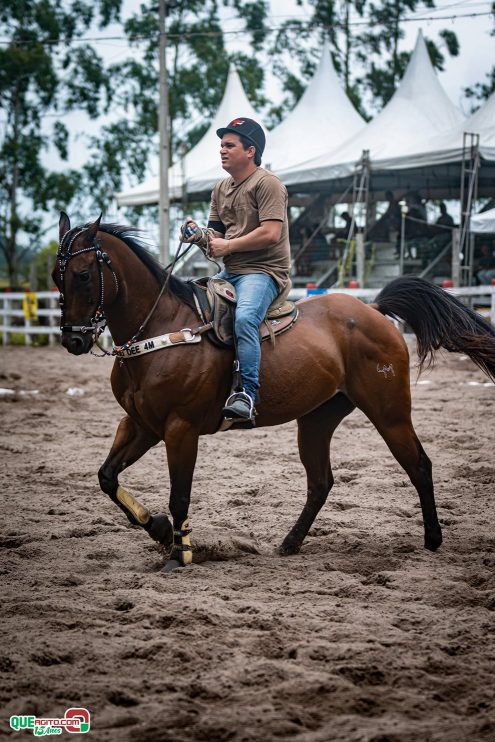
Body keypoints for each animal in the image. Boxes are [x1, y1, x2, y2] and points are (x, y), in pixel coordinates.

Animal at [53, 215, 495, 576]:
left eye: (84, 275)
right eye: (57, 277)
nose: (74, 340)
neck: (162, 327)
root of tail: (374, 310)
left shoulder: (180, 429)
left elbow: (179, 496)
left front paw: (180, 554)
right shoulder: (141, 424)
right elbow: (107, 477)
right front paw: (160, 529)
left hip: (390, 413)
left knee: (418, 465)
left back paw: (433, 540)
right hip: (317, 419)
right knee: (321, 481)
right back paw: (290, 542)